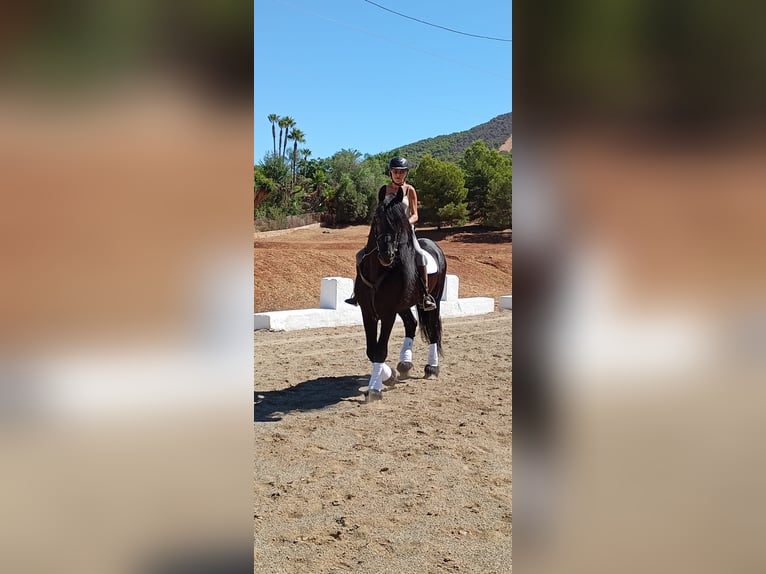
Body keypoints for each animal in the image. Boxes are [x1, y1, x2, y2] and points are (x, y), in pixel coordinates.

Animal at [354, 186, 447, 402]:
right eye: (377, 218)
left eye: (399, 222)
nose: (386, 254)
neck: (379, 271)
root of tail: (434, 246)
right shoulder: (367, 312)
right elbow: (371, 350)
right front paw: (389, 377)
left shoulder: (388, 313)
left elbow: (380, 351)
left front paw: (375, 389)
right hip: (404, 305)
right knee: (411, 324)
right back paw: (405, 364)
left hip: (434, 299)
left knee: (432, 328)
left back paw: (432, 368)